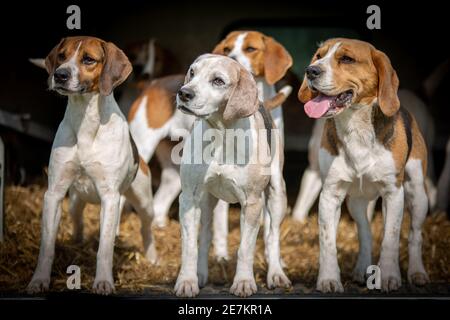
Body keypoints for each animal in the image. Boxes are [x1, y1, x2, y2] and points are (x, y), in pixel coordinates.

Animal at [27, 37, 158, 296]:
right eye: (61, 56)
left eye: (88, 59)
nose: (60, 75)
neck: (85, 120)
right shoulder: (53, 194)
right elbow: (47, 246)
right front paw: (39, 280)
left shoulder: (109, 196)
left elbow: (105, 249)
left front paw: (104, 282)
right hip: (75, 201)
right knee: (78, 221)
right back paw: (77, 241)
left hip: (143, 201)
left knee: (145, 228)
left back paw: (151, 256)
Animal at [174, 54, 290, 298]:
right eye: (192, 72)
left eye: (218, 81)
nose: (184, 93)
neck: (221, 135)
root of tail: (261, 103)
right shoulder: (188, 199)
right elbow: (190, 247)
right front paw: (187, 281)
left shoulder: (252, 203)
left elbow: (245, 248)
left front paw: (244, 282)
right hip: (206, 202)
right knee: (205, 236)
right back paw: (201, 274)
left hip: (277, 196)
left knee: (272, 237)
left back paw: (276, 273)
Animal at [298, 38, 428, 292]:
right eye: (318, 56)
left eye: (347, 59)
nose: (311, 71)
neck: (355, 125)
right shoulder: (330, 193)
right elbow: (327, 241)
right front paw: (328, 279)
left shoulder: (393, 192)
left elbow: (390, 238)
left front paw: (389, 276)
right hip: (356, 201)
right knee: (365, 232)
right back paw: (362, 269)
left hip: (417, 194)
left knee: (414, 235)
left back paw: (417, 272)